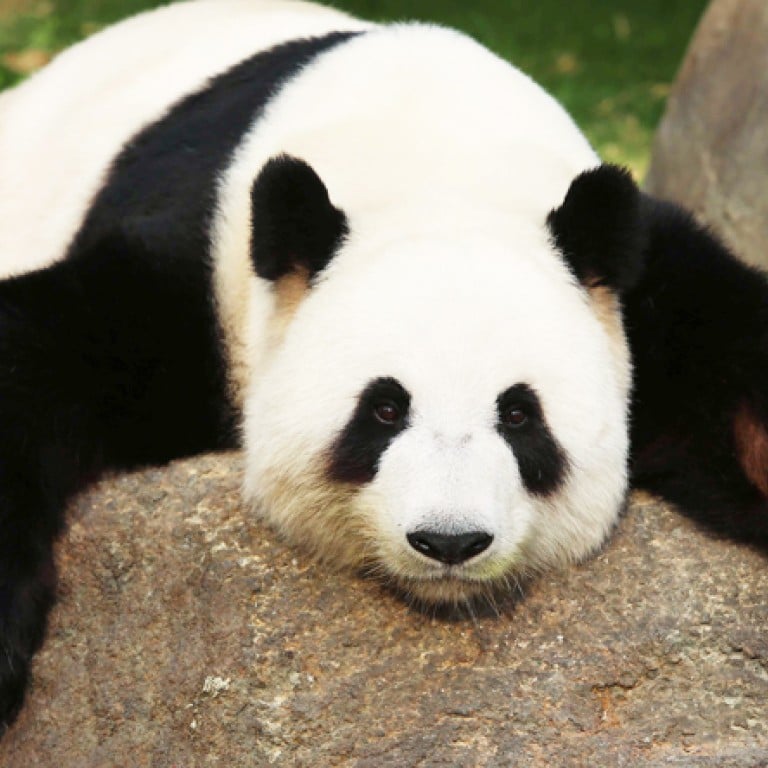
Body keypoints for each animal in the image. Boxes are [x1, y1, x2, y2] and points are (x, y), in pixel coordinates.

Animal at [0, 0, 766, 732]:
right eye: (385, 409)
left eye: (520, 414)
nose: (450, 540)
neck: (432, 168)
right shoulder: (200, 265)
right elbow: (45, 350)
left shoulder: (641, 272)